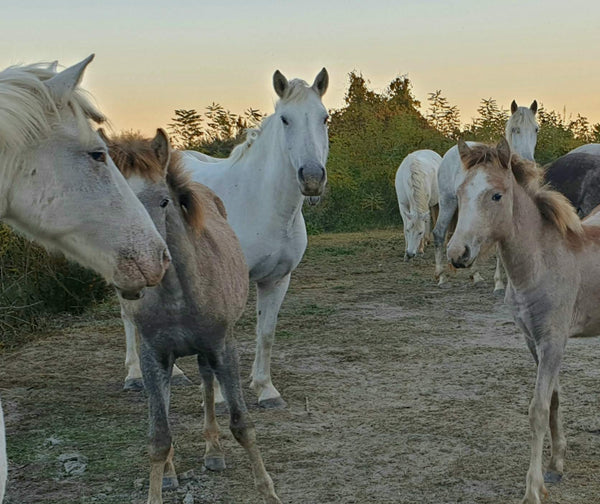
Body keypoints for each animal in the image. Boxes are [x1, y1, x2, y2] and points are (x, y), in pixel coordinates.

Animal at [102, 130, 282, 504]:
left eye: (163, 202)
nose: (142, 267)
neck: (178, 297)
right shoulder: (154, 355)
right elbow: (159, 435)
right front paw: (160, 484)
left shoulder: (222, 347)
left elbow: (242, 424)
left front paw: (268, 491)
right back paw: (173, 471)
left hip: (205, 351)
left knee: (207, 386)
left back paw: (214, 452)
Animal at [121, 68, 328, 410]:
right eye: (285, 119)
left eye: (325, 118)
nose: (311, 178)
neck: (260, 201)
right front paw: (218, 398)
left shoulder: (277, 279)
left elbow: (266, 332)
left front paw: (266, 389)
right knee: (127, 315)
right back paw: (135, 376)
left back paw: (176, 374)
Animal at [432, 100, 540, 290]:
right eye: (515, 129)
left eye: (536, 129)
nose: (528, 161)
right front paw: (499, 283)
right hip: (447, 202)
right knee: (439, 233)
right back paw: (442, 277)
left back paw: (475, 275)